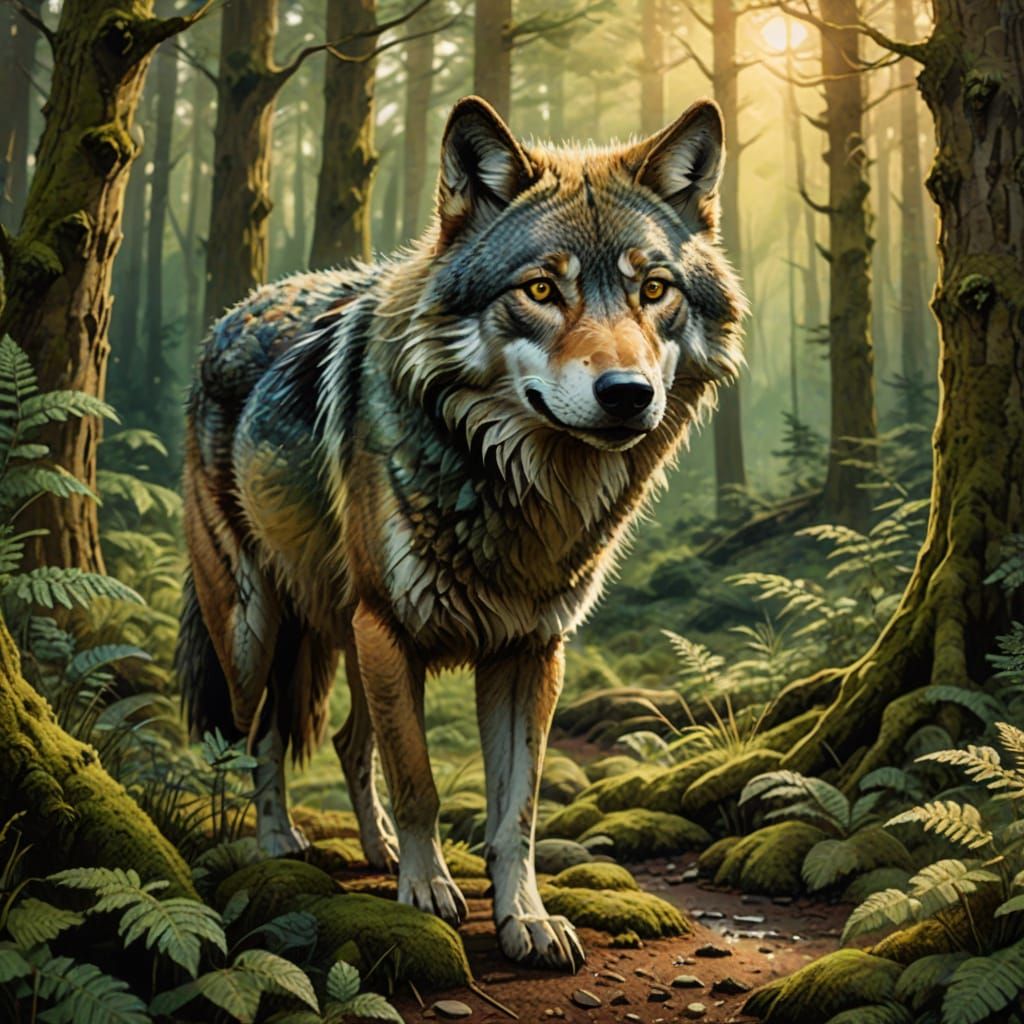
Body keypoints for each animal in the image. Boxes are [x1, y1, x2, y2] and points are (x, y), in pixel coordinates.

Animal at [176, 95, 744, 971]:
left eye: (655, 288)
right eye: (540, 288)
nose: (627, 394)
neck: (519, 494)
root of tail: (233, 313)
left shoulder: (531, 651)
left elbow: (518, 811)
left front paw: (526, 920)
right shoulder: (389, 630)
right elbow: (421, 781)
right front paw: (428, 893)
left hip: (344, 636)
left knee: (347, 740)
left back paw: (373, 849)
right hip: (256, 632)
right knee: (262, 732)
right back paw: (280, 843)